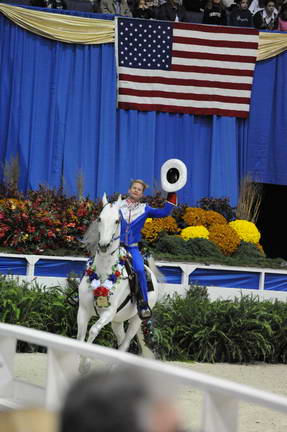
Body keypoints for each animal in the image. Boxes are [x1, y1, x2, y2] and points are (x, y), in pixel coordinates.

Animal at [77, 194, 161, 372]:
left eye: (117, 221)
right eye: (100, 218)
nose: (103, 246)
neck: (103, 272)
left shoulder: (108, 313)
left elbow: (93, 331)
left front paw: (85, 364)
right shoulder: (83, 310)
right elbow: (80, 336)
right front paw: (82, 364)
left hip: (135, 320)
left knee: (126, 343)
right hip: (117, 321)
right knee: (122, 341)